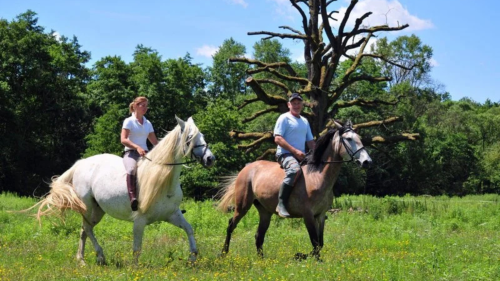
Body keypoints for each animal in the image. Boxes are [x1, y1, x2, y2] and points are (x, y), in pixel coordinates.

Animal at [31, 116, 215, 264]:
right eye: (190, 137)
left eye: (203, 135)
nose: (210, 159)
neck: (164, 180)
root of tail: (80, 164)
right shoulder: (140, 220)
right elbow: (137, 247)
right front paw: (135, 268)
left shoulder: (172, 214)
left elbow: (189, 229)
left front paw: (192, 258)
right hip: (87, 206)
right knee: (88, 229)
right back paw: (99, 256)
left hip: (97, 211)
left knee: (84, 230)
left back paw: (82, 259)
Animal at [218, 120, 372, 258]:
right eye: (349, 139)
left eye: (359, 138)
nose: (367, 162)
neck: (317, 176)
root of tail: (247, 168)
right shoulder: (308, 215)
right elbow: (315, 243)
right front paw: (303, 257)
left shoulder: (320, 215)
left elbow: (320, 243)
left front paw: (302, 256)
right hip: (243, 206)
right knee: (231, 225)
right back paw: (223, 253)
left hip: (265, 212)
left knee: (259, 236)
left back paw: (261, 260)